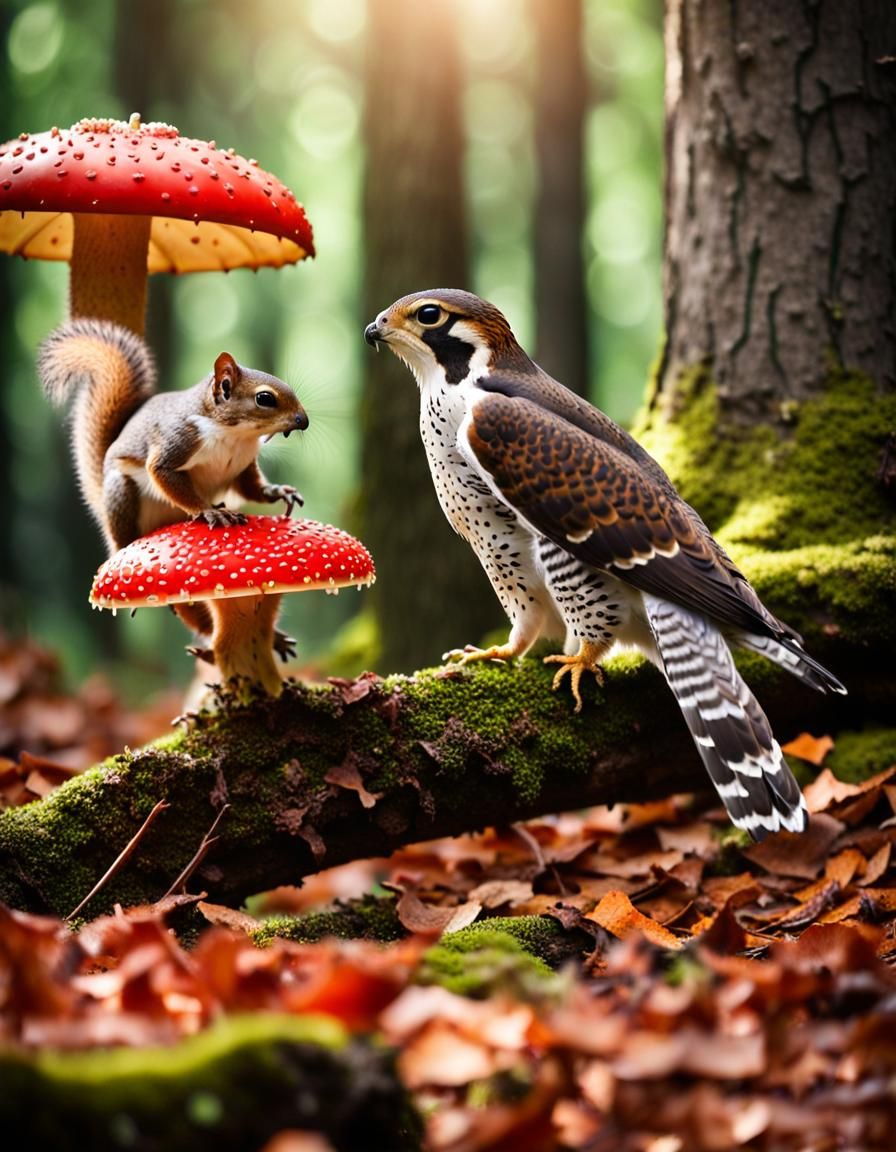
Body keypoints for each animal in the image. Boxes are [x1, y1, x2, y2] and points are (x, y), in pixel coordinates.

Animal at [39, 317, 309, 659]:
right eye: (265, 398)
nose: (303, 420)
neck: (234, 435)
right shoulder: (176, 442)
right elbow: (164, 475)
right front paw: (210, 511)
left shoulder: (242, 467)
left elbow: (252, 488)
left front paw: (279, 492)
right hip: (122, 495)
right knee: (121, 538)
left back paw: (271, 638)